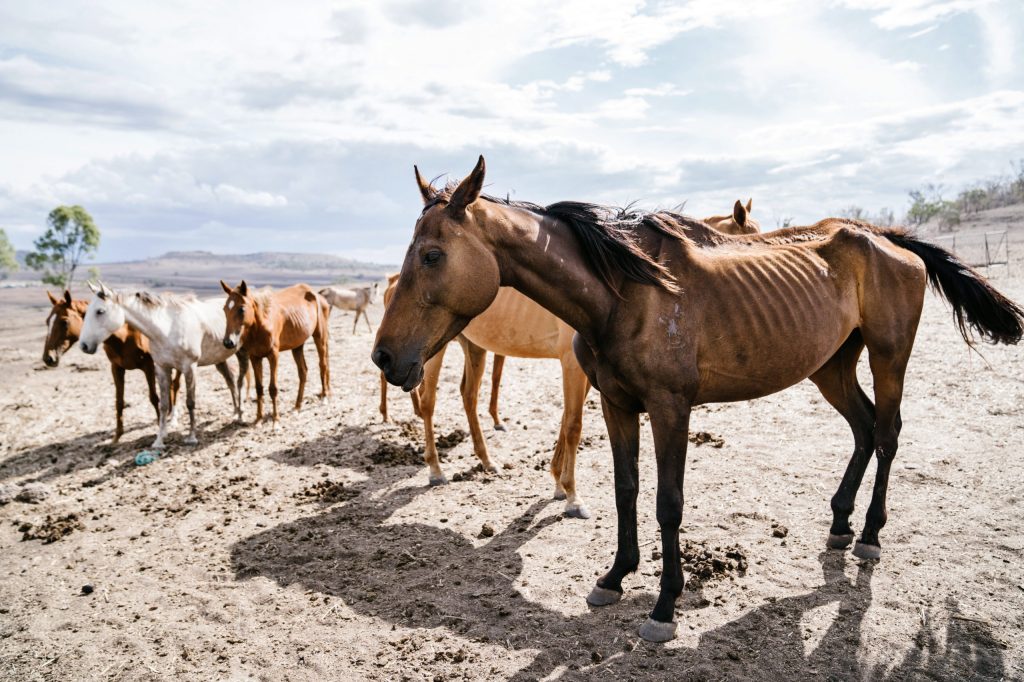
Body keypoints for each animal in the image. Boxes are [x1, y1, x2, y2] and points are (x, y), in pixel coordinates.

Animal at [43, 290, 180, 442]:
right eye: (47, 321)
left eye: (64, 321)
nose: (48, 358)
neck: (123, 335)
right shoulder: (116, 368)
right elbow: (119, 402)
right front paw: (117, 436)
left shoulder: (148, 366)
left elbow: (153, 397)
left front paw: (159, 430)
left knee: (175, 385)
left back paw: (173, 418)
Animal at [79, 282, 247, 448]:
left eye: (100, 311)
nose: (84, 346)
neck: (167, 329)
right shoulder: (161, 368)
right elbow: (164, 404)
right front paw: (159, 440)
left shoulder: (189, 367)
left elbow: (190, 402)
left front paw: (191, 437)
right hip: (219, 360)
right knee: (231, 380)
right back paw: (235, 414)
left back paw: (239, 415)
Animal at [221, 281, 330, 423]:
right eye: (224, 309)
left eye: (241, 309)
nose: (228, 342)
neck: (260, 326)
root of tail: (317, 295)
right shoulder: (255, 357)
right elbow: (259, 388)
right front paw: (258, 420)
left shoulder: (273, 356)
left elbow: (273, 388)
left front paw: (276, 420)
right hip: (297, 345)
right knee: (303, 372)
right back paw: (297, 407)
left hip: (320, 337)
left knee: (323, 365)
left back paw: (324, 397)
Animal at [378, 274, 591, 517]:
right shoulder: (571, 360)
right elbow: (573, 425)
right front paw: (573, 497)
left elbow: (566, 419)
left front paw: (557, 481)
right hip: (432, 351)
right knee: (428, 402)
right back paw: (435, 470)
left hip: (474, 347)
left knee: (468, 395)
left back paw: (487, 460)